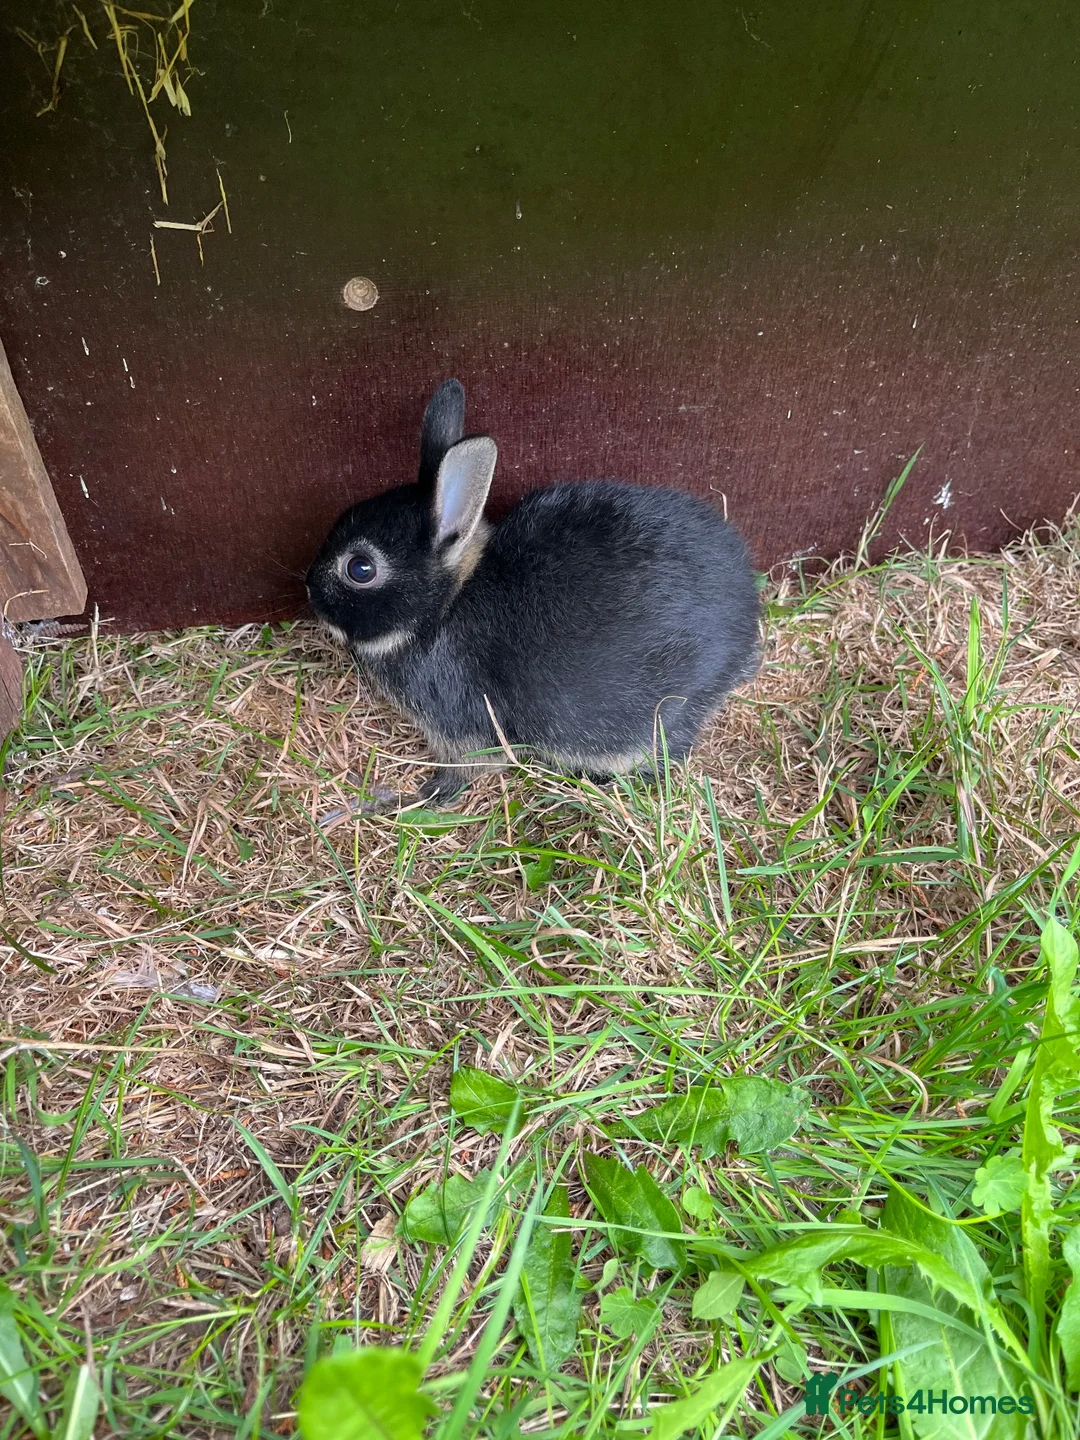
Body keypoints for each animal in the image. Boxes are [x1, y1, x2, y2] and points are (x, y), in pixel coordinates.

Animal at [306, 379, 760, 804]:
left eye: (360, 568)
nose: (309, 588)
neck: (445, 605)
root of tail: (744, 631)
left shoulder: (462, 725)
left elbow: (461, 774)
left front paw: (400, 799)